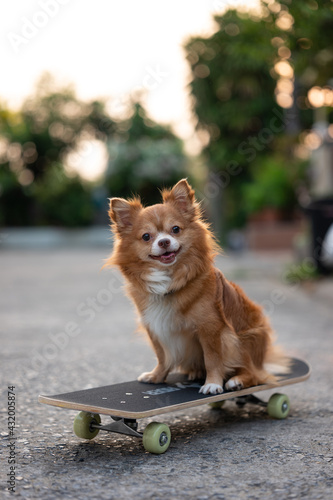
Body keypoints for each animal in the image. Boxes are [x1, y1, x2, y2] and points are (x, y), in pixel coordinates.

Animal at [105, 179, 286, 394]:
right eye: (146, 237)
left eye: (175, 229)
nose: (164, 241)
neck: (170, 280)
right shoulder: (156, 327)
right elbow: (162, 356)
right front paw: (157, 376)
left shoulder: (211, 329)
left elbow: (212, 358)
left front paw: (213, 384)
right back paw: (196, 372)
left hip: (244, 340)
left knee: (255, 373)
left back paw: (237, 380)